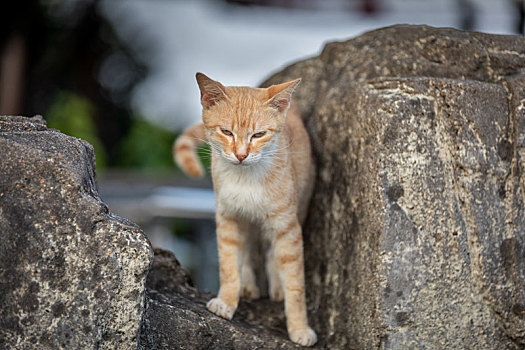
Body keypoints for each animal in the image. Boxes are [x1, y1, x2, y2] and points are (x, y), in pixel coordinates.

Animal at [174, 72, 318, 346]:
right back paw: (249, 285)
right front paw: (227, 302)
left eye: (259, 134)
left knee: (270, 253)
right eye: (226, 132)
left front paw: (299, 327)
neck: (246, 180)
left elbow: (295, 284)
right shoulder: (228, 218)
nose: (241, 155)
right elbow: (229, 265)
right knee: (249, 249)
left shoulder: (287, 227)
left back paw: (275, 287)